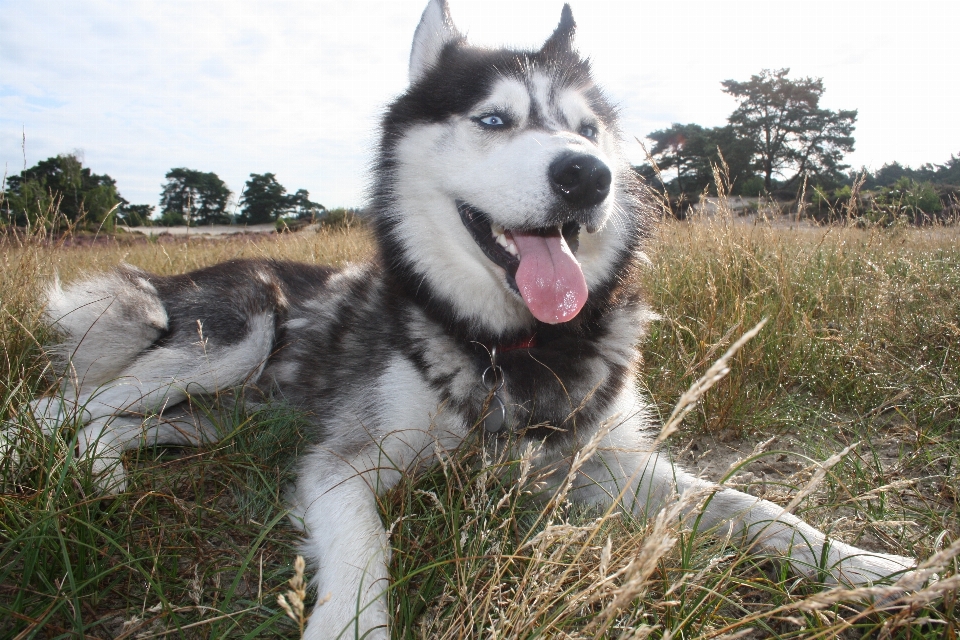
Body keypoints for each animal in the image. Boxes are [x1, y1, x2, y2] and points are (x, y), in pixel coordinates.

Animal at [9, 2, 916, 636]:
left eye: (587, 131)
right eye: (493, 120)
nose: (588, 176)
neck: (516, 342)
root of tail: (180, 271)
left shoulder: (604, 464)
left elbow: (753, 507)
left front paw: (871, 566)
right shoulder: (341, 465)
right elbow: (366, 546)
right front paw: (350, 625)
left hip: (218, 417)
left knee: (120, 424)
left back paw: (104, 472)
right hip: (239, 331)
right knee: (54, 407)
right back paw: (53, 463)